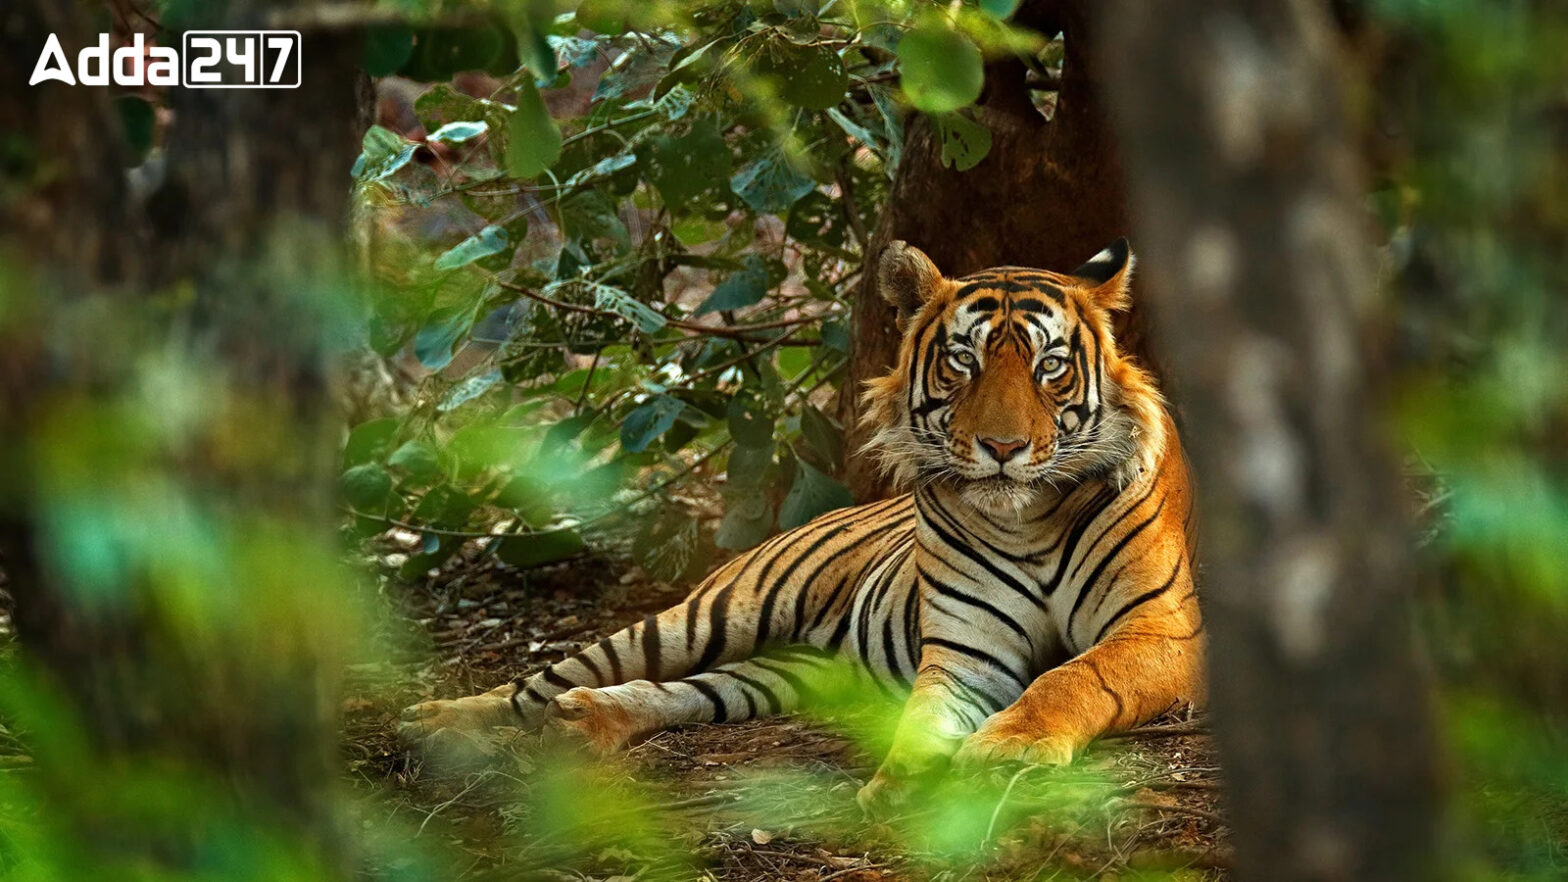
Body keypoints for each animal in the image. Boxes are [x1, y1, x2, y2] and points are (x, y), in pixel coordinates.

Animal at [398, 236, 1204, 809]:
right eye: (962, 362)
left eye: (1050, 368)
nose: (1001, 448)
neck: (1028, 519)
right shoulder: (966, 652)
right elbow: (924, 718)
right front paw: (902, 784)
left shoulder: (1161, 629)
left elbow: (1074, 676)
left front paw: (1008, 748)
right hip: (708, 615)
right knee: (543, 680)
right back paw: (438, 721)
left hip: (788, 671)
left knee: (688, 691)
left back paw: (584, 721)